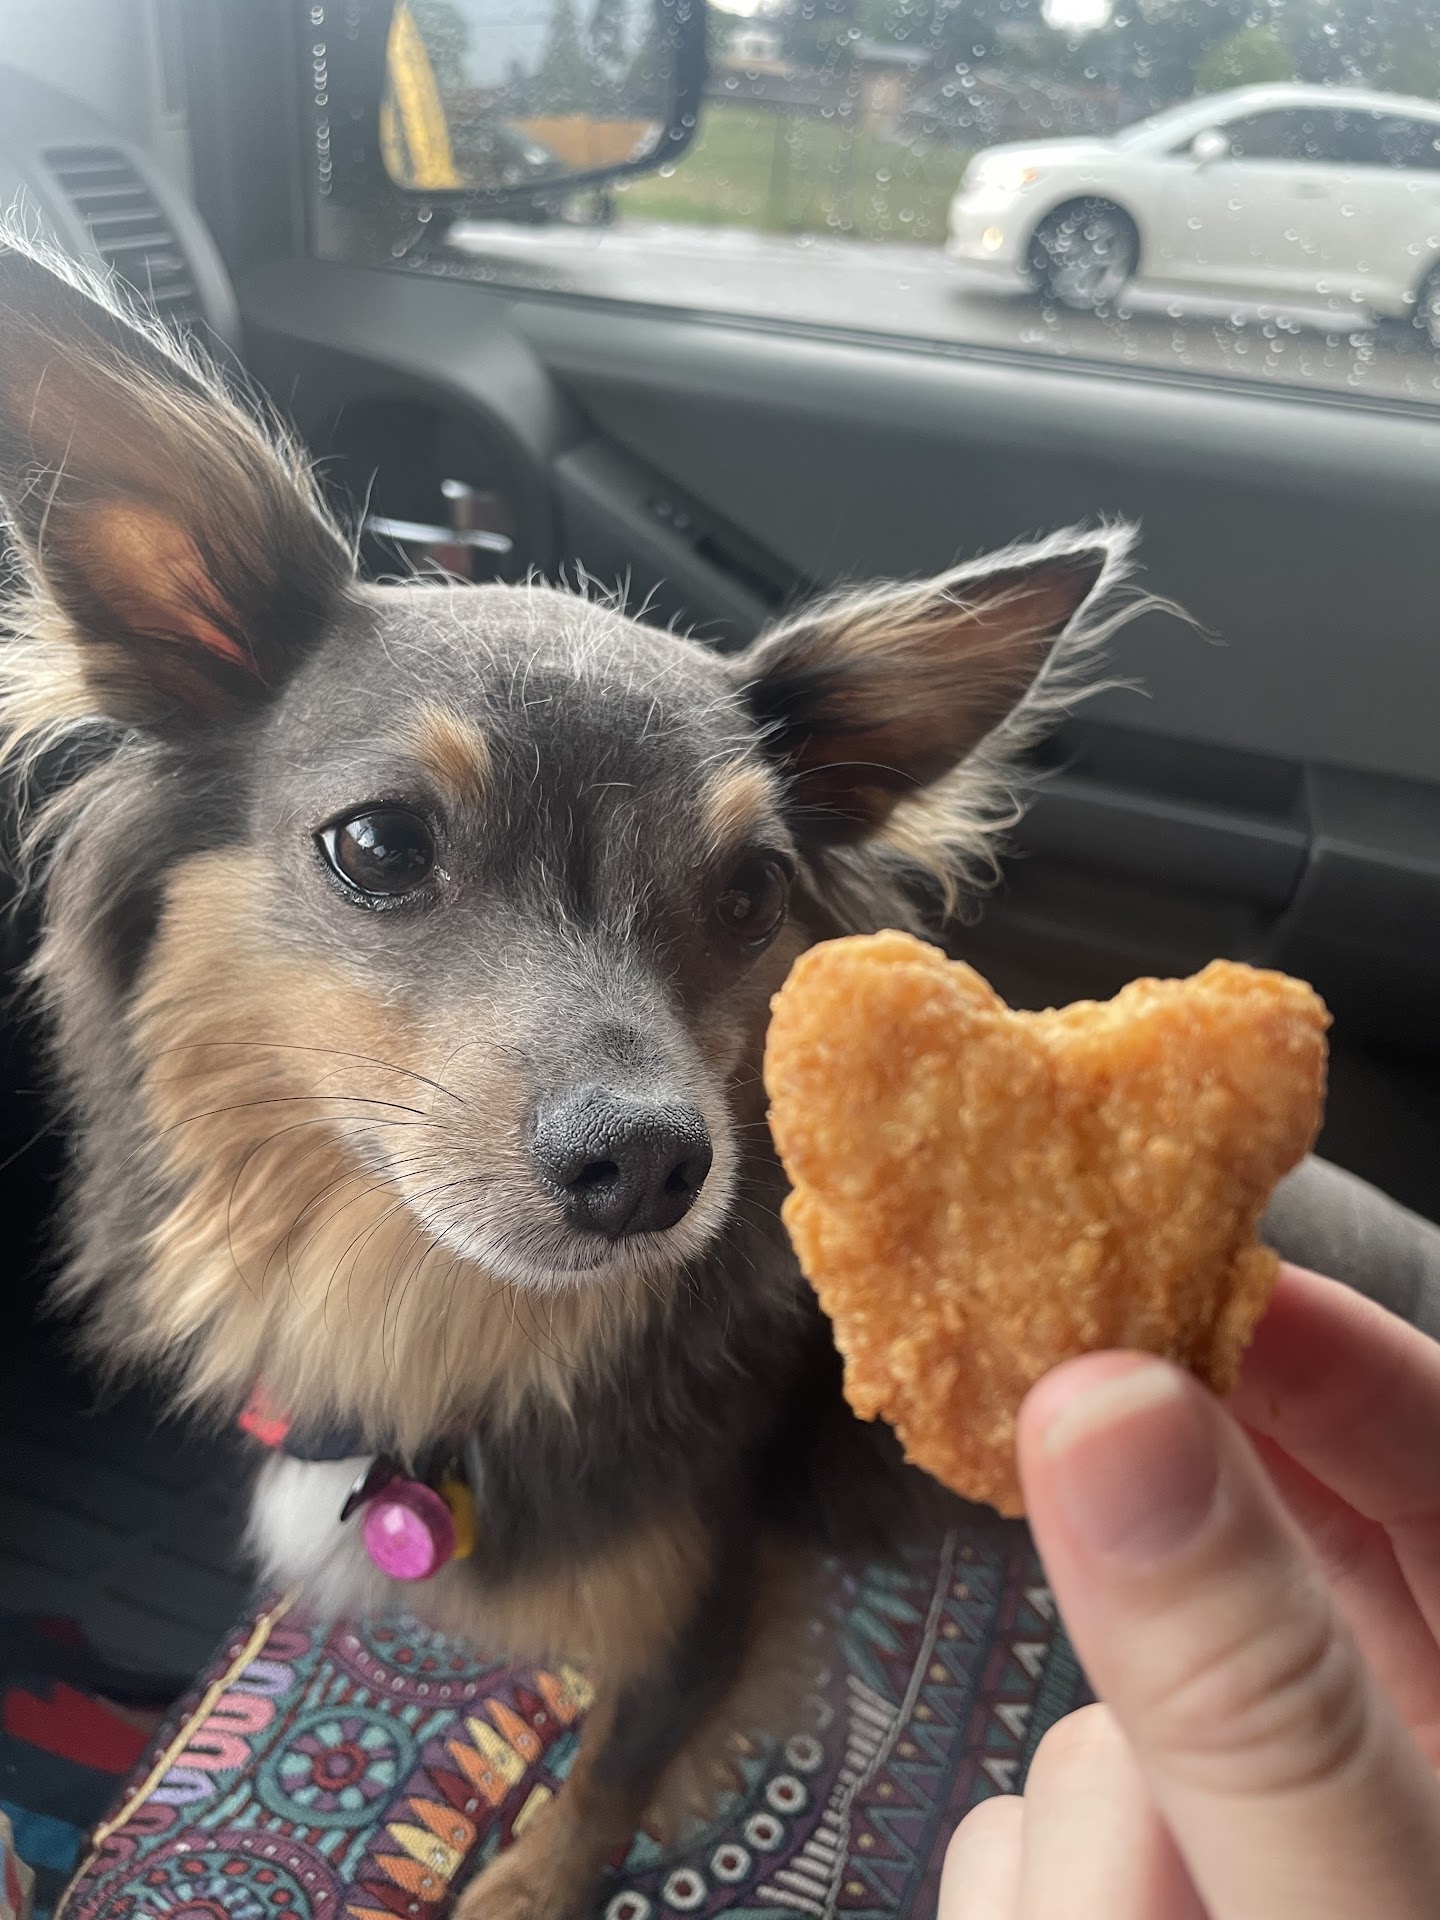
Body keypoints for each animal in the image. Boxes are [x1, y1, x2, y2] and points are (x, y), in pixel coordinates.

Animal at [0, 240, 1136, 1918]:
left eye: (751, 896)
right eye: (378, 844)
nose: (656, 1164)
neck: (453, 1329)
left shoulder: (707, 1609)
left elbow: (607, 1774)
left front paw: (528, 1879)